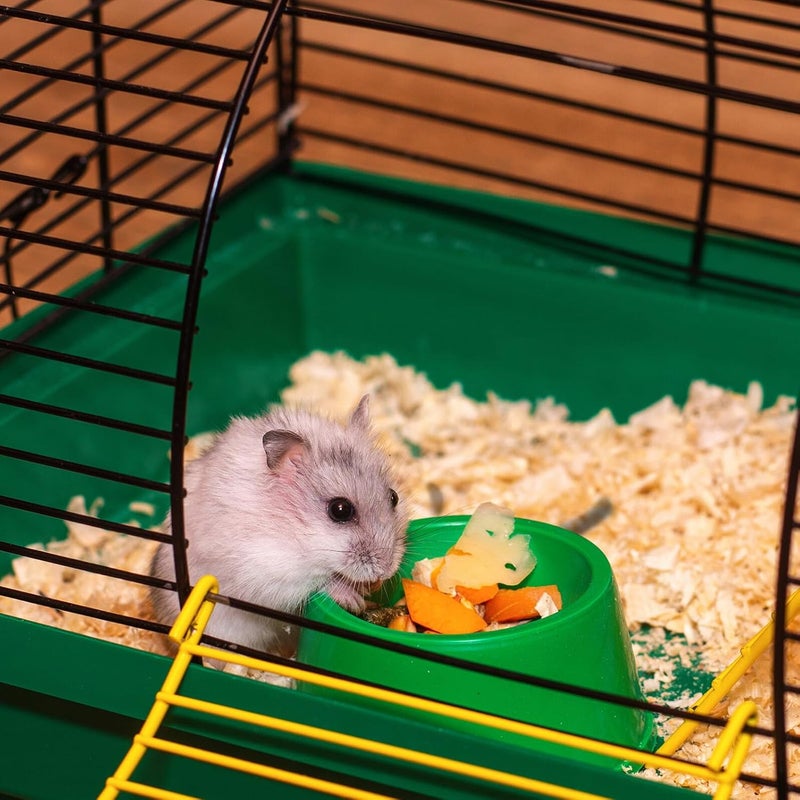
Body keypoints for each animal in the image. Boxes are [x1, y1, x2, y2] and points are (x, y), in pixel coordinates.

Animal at [150, 395, 408, 655]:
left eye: (394, 497)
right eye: (340, 510)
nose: (386, 571)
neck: (293, 529)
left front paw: (371, 588)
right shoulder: (269, 570)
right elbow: (320, 583)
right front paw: (354, 599)